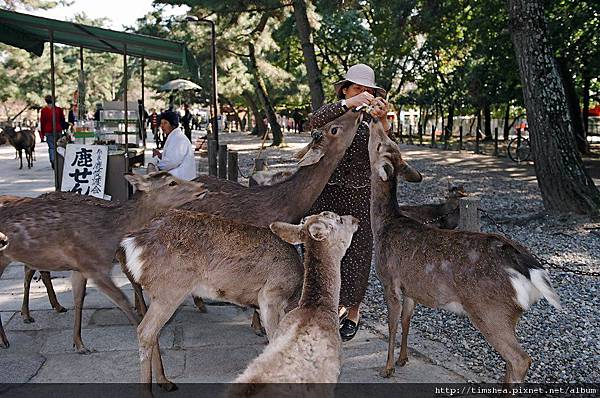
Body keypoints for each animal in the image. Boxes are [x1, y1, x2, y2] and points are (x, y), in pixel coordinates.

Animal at [120, 210, 312, 390]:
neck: (294, 295)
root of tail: (133, 243)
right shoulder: (270, 296)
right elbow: (274, 340)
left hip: (158, 293)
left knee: (154, 333)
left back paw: (164, 381)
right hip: (171, 289)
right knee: (145, 331)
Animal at [366, 117, 564, 382]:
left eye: (381, 144)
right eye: (390, 143)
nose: (375, 119)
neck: (383, 226)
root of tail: (528, 266)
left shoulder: (389, 280)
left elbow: (392, 324)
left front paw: (387, 368)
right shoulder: (410, 287)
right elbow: (407, 320)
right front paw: (402, 359)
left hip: (489, 309)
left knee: (520, 359)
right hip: (509, 314)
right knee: (511, 361)